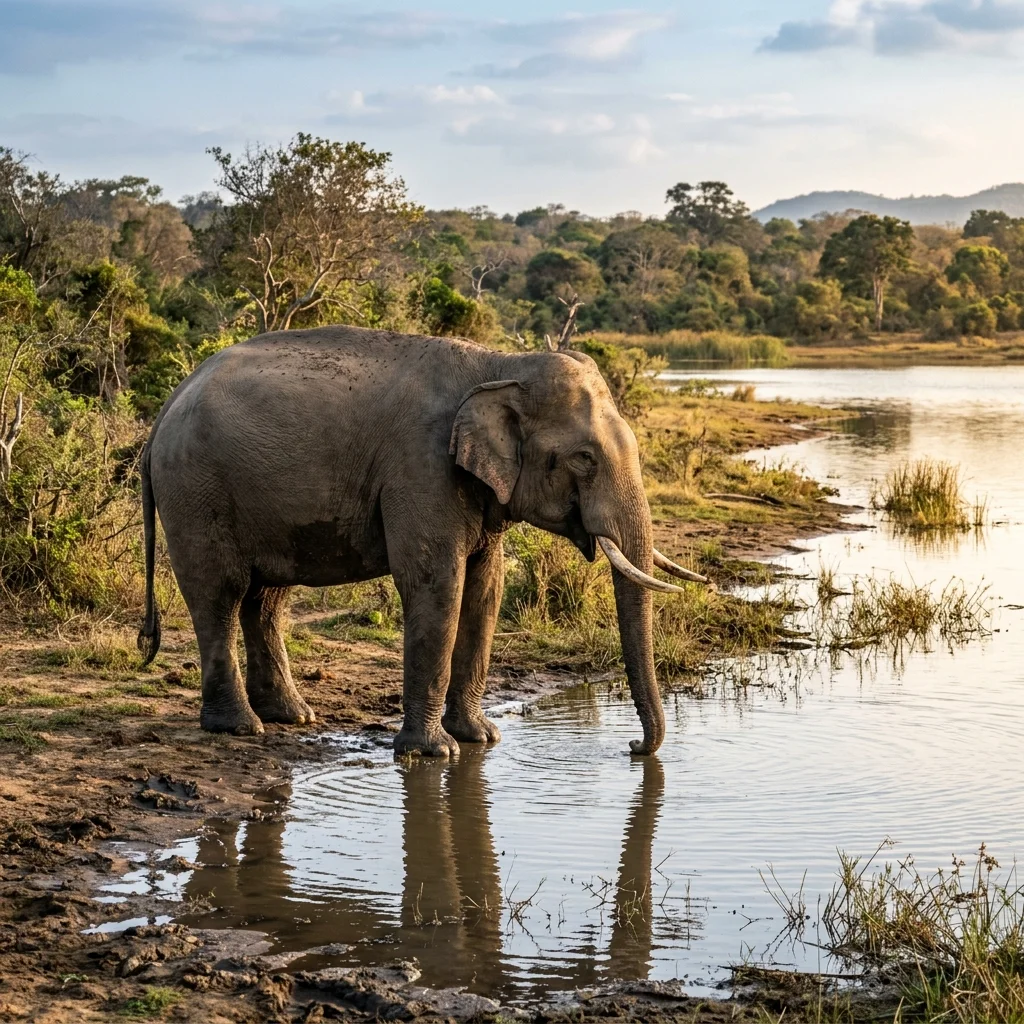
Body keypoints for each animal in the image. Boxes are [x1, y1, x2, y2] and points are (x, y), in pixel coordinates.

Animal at [137, 325, 706, 757]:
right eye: (584, 459)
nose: (632, 748)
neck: (500, 366)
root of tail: (168, 404)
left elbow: (485, 590)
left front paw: (481, 739)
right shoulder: (421, 469)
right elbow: (437, 585)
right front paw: (435, 753)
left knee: (267, 598)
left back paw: (293, 717)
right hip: (196, 489)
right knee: (220, 594)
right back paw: (240, 727)